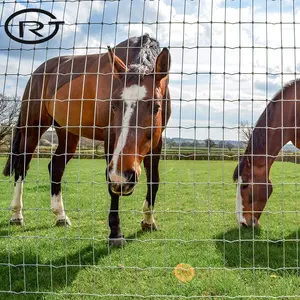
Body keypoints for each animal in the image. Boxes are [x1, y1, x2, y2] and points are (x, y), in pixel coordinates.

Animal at [2, 34, 171, 246]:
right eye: (113, 105)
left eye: (156, 107)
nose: (124, 177)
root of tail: (39, 71)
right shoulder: (110, 140)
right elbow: (111, 185)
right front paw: (116, 233)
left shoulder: (157, 141)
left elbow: (154, 180)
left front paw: (148, 221)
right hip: (32, 128)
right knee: (21, 167)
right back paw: (17, 215)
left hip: (67, 133)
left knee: (56, 167)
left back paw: (60, 216)